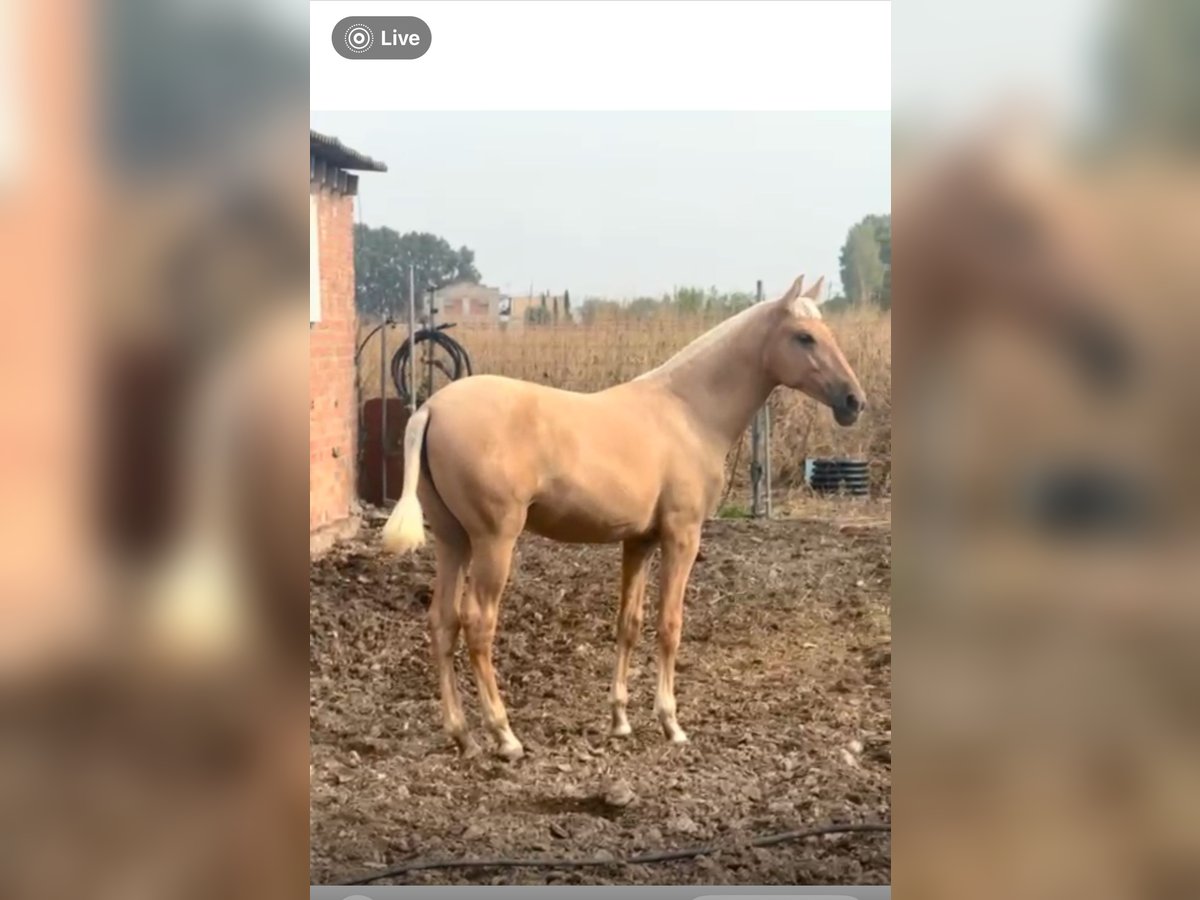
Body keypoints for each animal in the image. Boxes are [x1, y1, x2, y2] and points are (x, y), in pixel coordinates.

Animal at [382, 274, 866, 759]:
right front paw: (671, 723)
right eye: (804, 337)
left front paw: (620, 721)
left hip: (453, 540)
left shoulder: (639, 541)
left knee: (442, 622)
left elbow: (628, 624)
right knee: (478, 624)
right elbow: (669, 625)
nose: (853, 400)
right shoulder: (681, 536)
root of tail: (431, 408)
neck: (689, 412)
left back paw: (462, 734)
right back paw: (504, 735)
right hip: (493, 541)